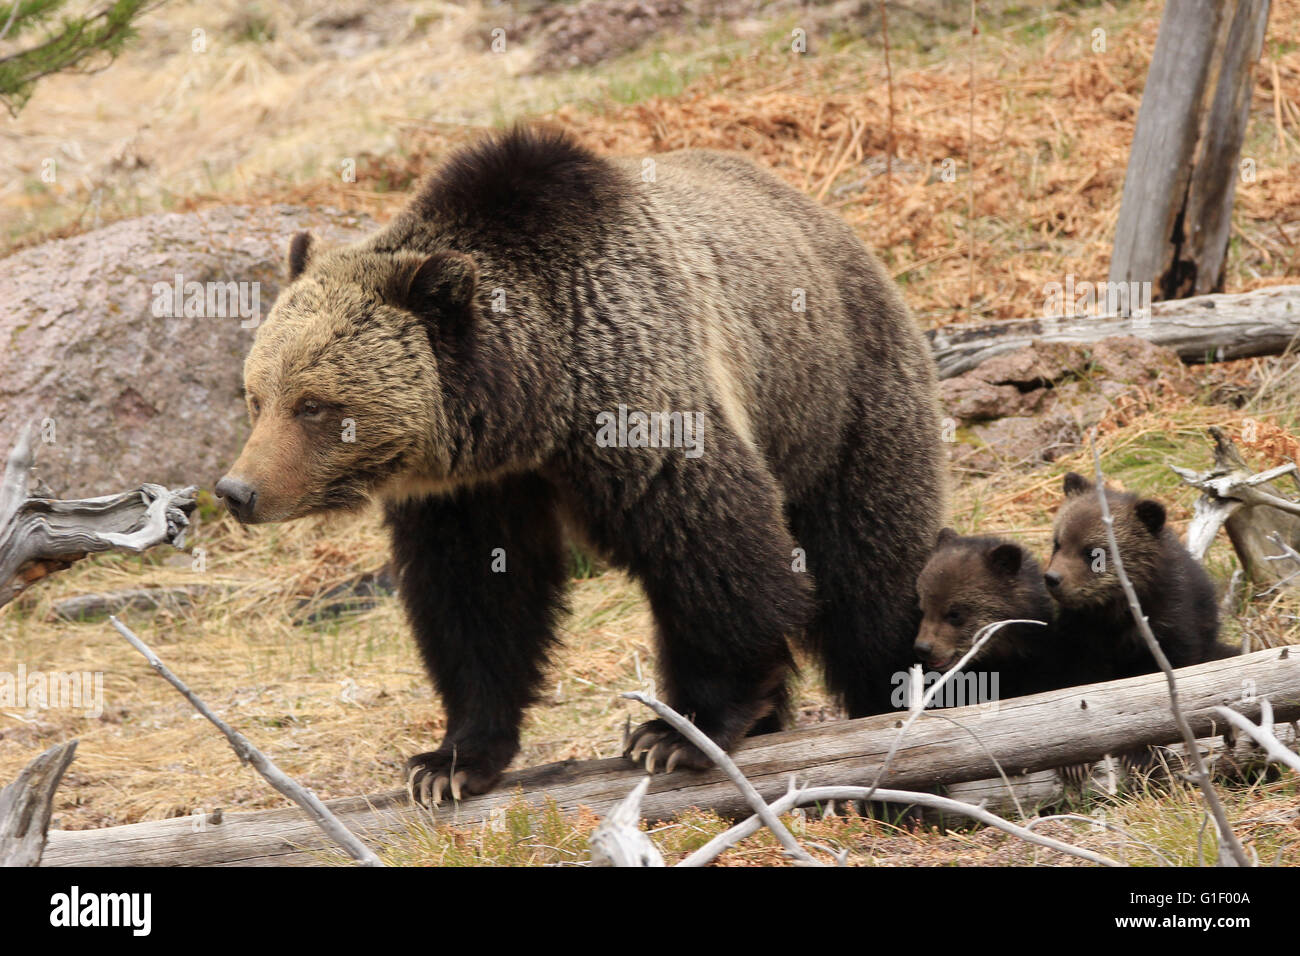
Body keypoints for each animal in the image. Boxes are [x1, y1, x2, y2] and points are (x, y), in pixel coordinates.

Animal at [216, 126, 946, 803]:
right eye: (257, 395)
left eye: (314, 404)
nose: (237, 490)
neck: (537, 407)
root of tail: (832, 223)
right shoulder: (470, 489)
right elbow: (476, 601)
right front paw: (448, 763)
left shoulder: (639, 403)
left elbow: (714, 552)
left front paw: (675, 733)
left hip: (838, 400)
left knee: (870, 573)